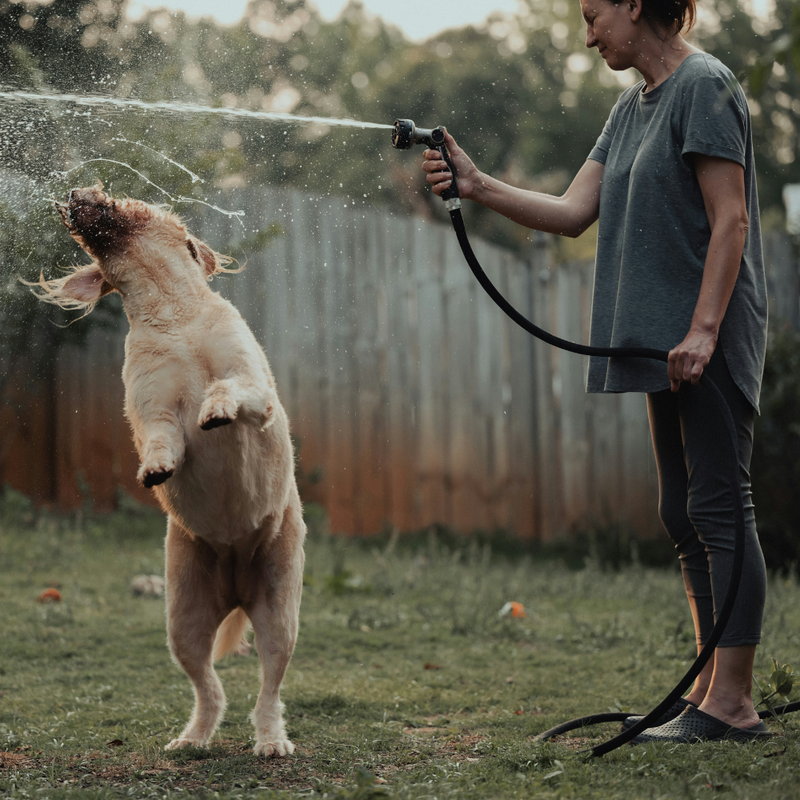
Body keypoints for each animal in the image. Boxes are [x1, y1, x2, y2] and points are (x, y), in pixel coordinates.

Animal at [33, 188, 306, 756]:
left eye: (135, 199)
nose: (77, 192)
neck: (174, 316)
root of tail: (236, 580)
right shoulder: (154, 409)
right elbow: (163, 437)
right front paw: (158, 467)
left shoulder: (255, 388)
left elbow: (232, 389)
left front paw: (216, 409)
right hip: (183, 621)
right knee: (209, 689)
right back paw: (192, 738)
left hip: (279, 612)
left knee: (269, 689)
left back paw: (271, 741)